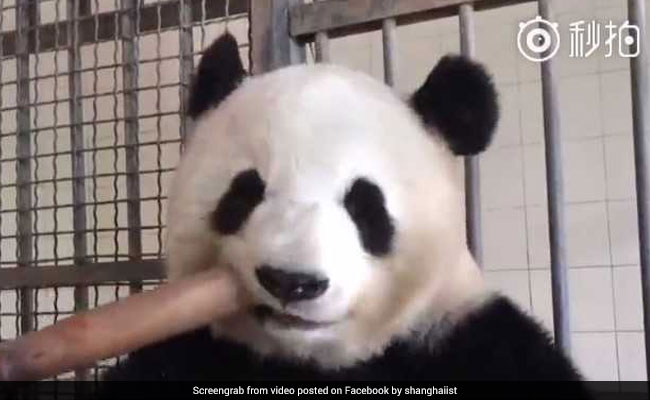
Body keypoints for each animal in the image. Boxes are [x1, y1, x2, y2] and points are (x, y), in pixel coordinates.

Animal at [104, 32, 588, 387]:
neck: (307, 360)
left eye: (365, 206)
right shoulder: (192, 348)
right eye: (243, 194)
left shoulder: (463, 338)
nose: (291, 281)